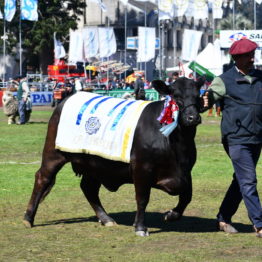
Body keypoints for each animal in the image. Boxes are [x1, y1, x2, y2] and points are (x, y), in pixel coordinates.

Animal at [23, 77, 205, 236]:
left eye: (198, 95)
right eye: (175, 96)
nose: (192, 117)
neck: (176, 146)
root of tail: (67, 98)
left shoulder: (186, 171)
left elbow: (187, 195)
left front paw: (172, 214)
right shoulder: (142, 168)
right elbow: (142, 198)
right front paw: (140, 227)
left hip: (94, 164)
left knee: (88, 188)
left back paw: (105, 218)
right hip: (53, 154)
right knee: (42, 178)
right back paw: (28, 218)